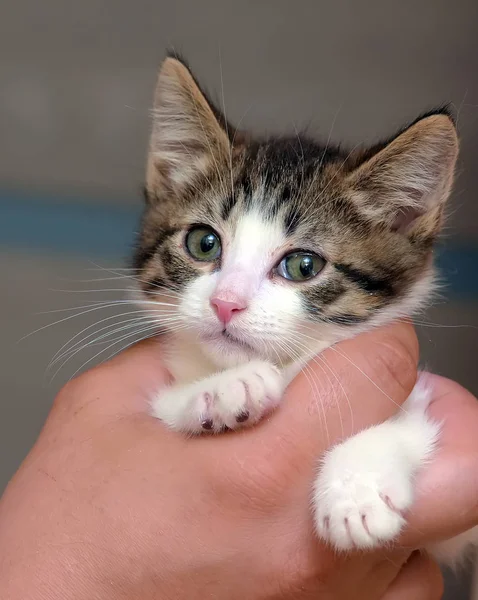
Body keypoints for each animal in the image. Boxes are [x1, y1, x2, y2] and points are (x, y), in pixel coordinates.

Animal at [133, 54, 476, 564]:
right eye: (203, 242)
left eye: (303, 265)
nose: (225, 303)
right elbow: (166, 402)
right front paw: (224, 388)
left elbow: (409, 418)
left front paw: (356, 490)